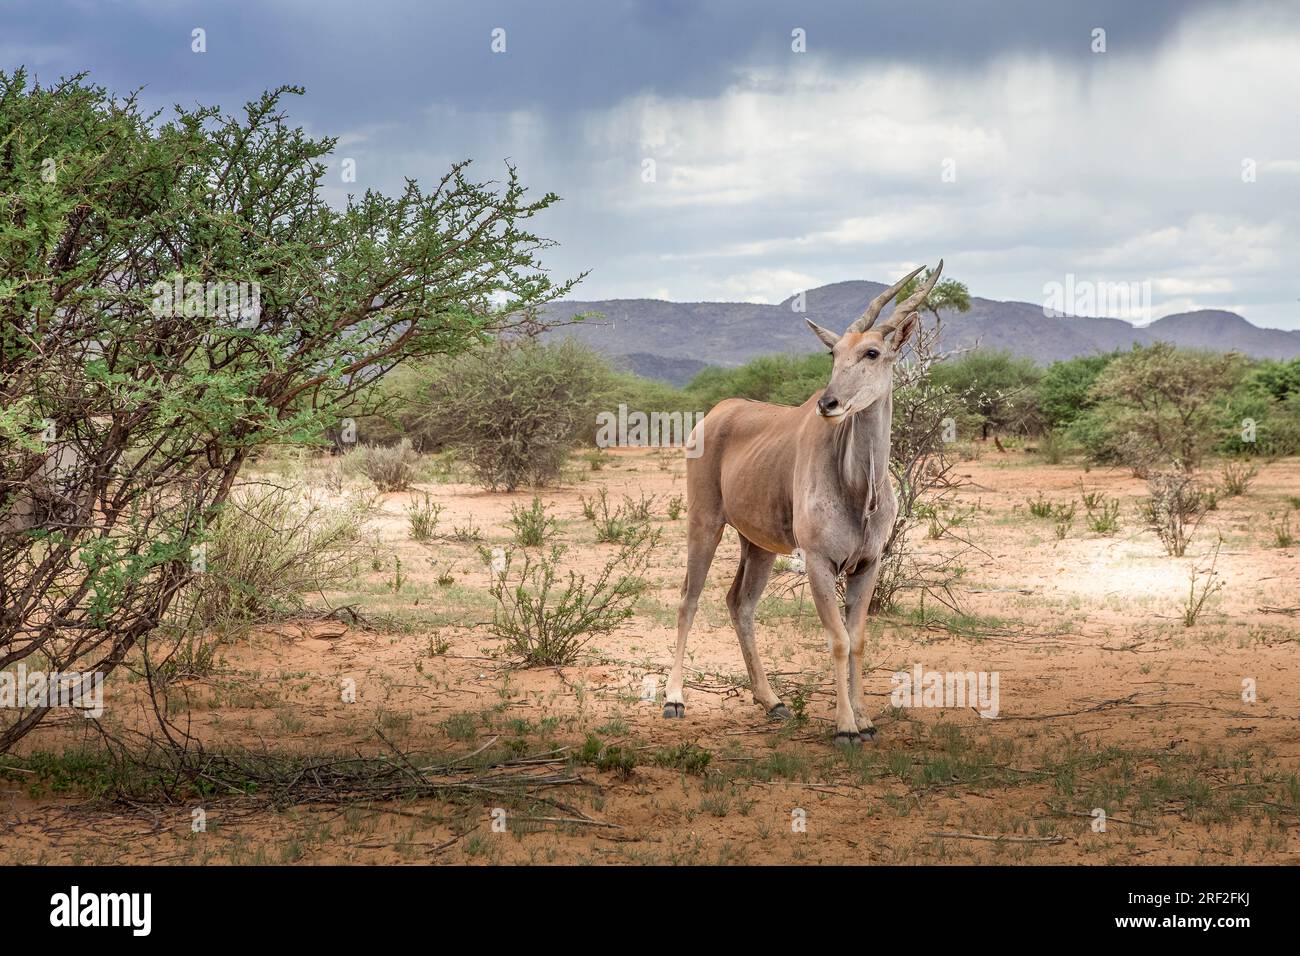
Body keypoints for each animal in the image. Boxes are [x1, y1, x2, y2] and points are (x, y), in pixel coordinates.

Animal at [660, 261, 946, 749]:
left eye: (872, 353)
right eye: (834, 354)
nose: (829, 403)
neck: (859, 490)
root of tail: (714, 414)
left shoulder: (867, 564)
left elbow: (858, 639)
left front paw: (866, 720)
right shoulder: (818, 561)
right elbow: (837, 639)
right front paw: (846, 726)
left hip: (758, 546)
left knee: (740, 603)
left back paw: (772, 701)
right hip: (705, 523)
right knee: (688, 600)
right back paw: (675, 699)